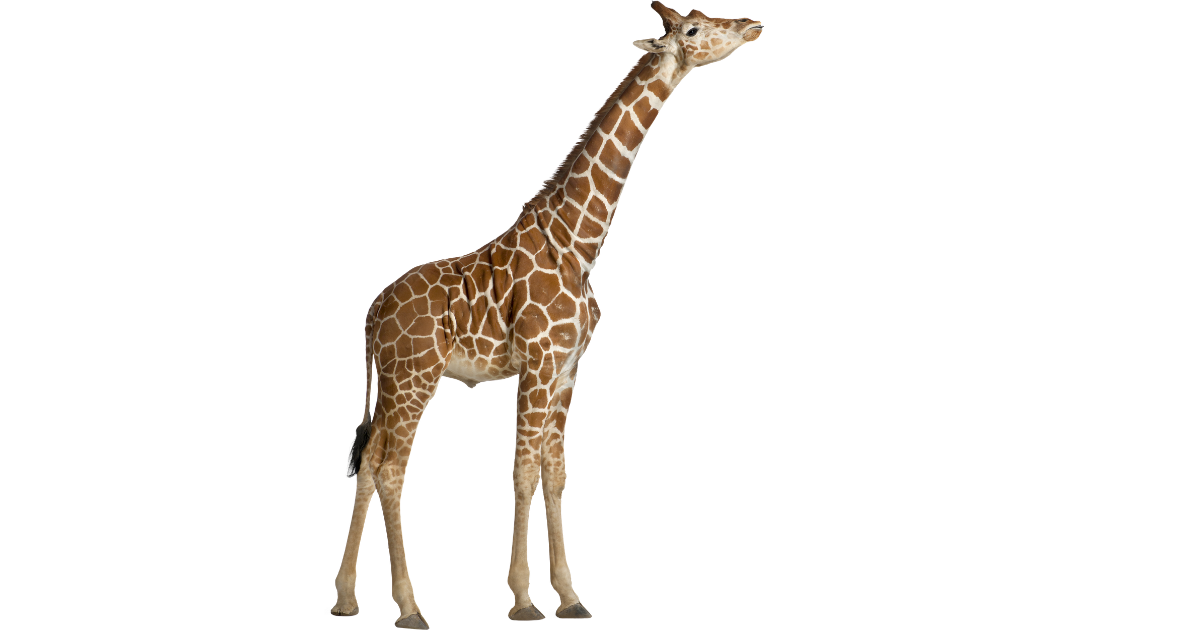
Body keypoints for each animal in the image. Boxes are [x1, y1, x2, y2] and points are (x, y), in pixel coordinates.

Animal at [328, 4, 763, 627]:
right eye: (693, 30)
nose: (751, 25)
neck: (576, 238)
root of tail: (374, 309)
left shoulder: (562, 375)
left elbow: (555, 474)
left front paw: (570, 598)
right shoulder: (535, 368)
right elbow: (523, 469)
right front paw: (525, 602)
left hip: (390, 381)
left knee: (366, 466)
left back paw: (345, 599)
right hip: (414, 378)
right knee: (390, 470)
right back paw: (410, 611)